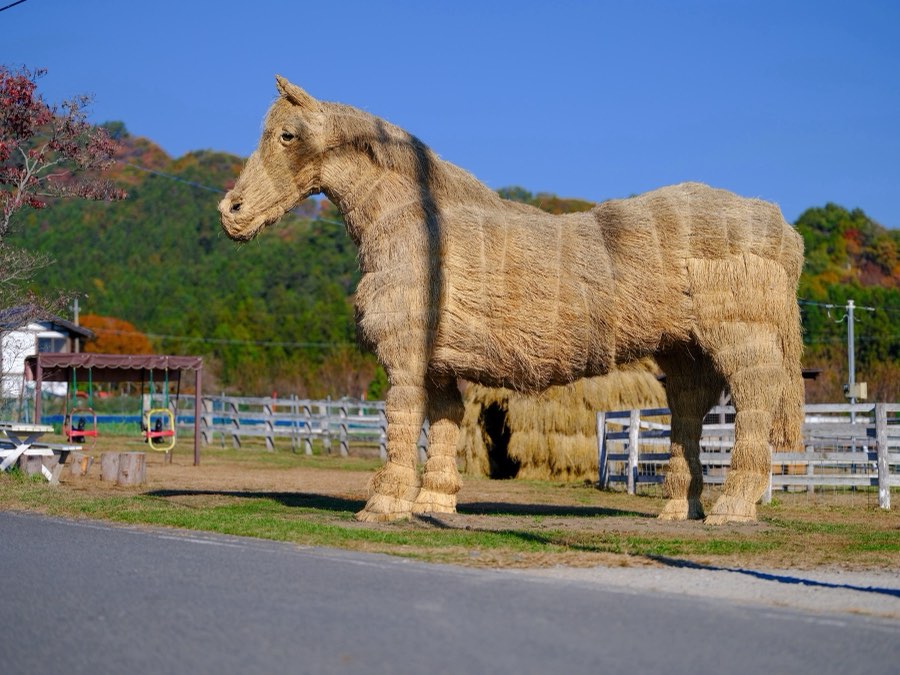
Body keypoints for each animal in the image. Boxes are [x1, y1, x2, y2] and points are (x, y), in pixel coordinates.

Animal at [219, 76, 804, 523]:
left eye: (287, 135)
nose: (232, 211)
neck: (416, 224)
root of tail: (778, 229)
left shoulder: (406, 358)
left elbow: (404, 420)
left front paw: (384, 505)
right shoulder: (439, 366)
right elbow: (446, 422)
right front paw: (434, 503)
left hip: (741, 345)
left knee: (753, 409)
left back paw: (733, 508)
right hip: (685, 355)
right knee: (688, 416)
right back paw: (679, 509)